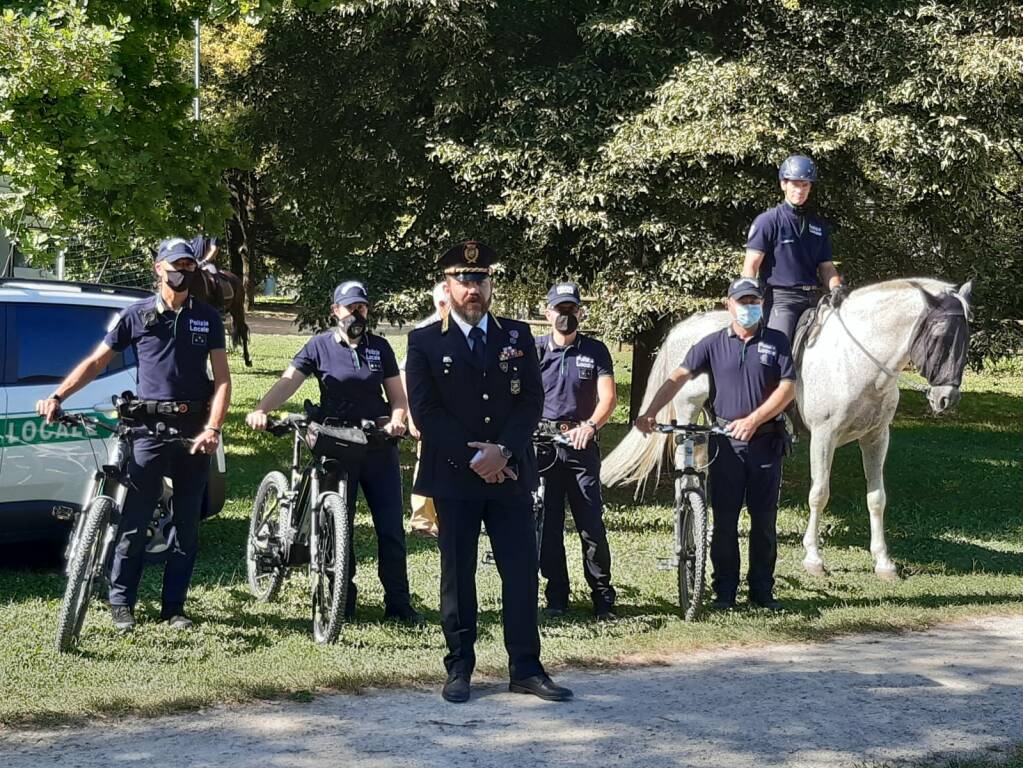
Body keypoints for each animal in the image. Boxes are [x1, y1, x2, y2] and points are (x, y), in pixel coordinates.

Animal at [601, 280, 969, 580]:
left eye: (967, 335)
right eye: (939, 335)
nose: (946, 399)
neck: (856, 360)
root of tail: (685, 328)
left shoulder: (876, 437)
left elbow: (876, 498)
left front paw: (883, 562)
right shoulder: (824, 436)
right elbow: (819, 494)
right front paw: (814, 559)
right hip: (688, 411)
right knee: (686, 473)